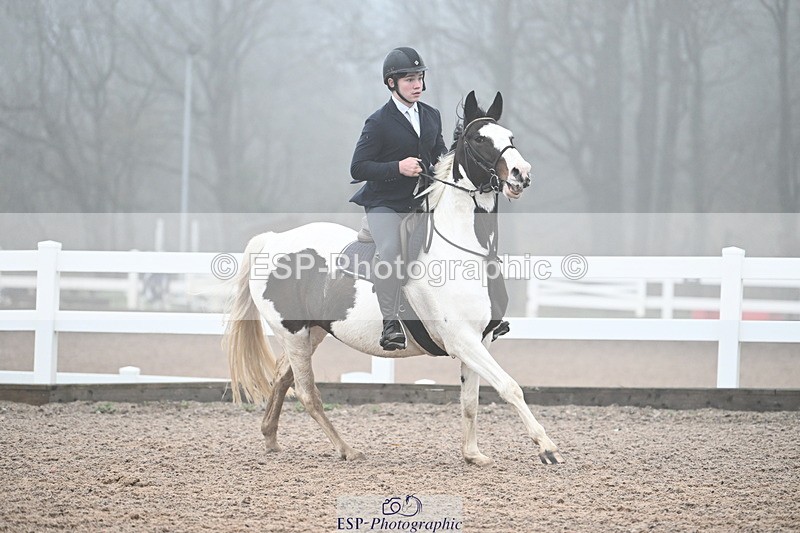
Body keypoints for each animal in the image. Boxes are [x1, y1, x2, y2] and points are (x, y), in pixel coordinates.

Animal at [223, 91, 563, 466]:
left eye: (510, 137)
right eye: (478, 139)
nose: (521, 173)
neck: (467, 249)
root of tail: (273, 239)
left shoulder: (481, 340)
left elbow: (471, 401)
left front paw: (473, 454)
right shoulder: (462, 339)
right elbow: (509, 387)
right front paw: (546, 447)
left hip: (313, 332)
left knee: (281, 378)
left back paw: (271, 438)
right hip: (293, 333)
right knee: (307, 393)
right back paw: (347, 449)